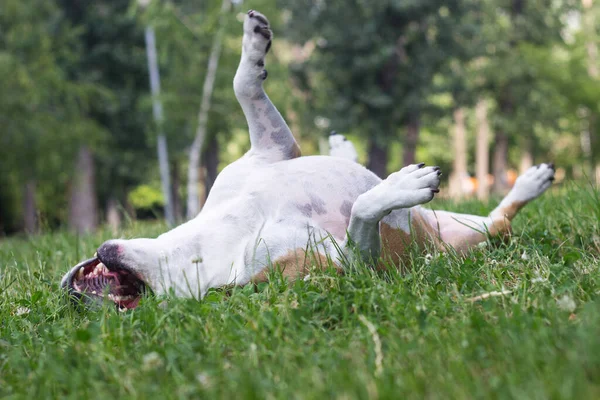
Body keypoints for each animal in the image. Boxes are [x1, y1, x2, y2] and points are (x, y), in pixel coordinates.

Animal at [59, 10, 552, 310]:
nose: (72, 297)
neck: (201, 244)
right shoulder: (348, 270)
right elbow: (361, 214)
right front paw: (397, 187)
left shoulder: (272, 148)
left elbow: (243, 85)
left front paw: (253, 44)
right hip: (476, 238)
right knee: (502, 221)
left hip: (455, 220)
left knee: (499, 211)